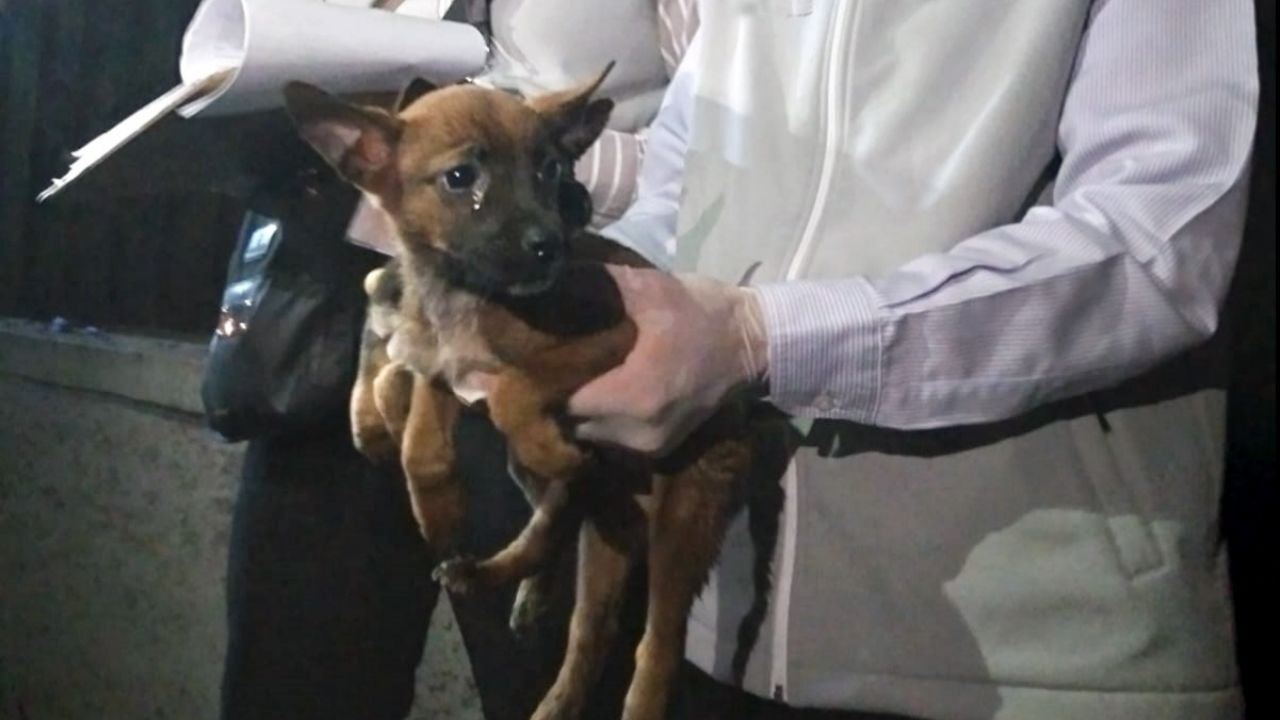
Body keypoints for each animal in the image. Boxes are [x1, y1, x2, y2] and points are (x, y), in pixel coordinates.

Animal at [284, 71, 773, 717]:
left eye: (549, 169)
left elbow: (516, 388)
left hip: (684, 519)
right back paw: (501, 588)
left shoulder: (615, 335)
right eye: (461, 177)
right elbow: (419, 442)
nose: (551, 247)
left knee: (655, 648)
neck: (470, 294)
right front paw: (438, 507)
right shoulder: (442, 370)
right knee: (582, 602)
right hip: (603, 521)